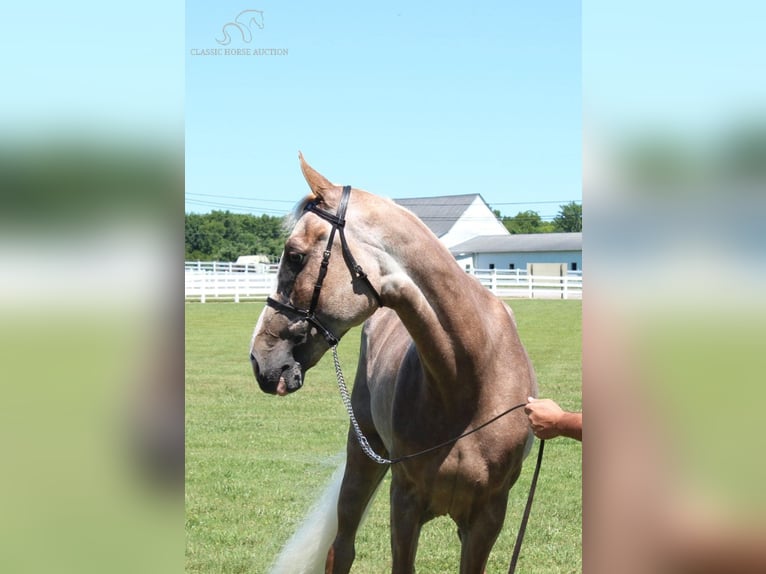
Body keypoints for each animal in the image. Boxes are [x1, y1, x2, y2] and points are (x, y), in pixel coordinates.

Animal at [249, 154, 536, 574]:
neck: (470, 379)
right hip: (361, 458)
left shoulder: (487, 517)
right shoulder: (404, 503)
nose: (260, 360)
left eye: (295, 256)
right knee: (341, 548)